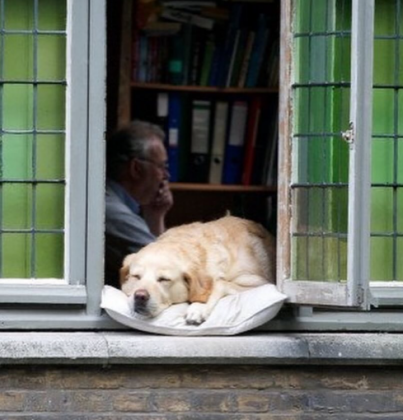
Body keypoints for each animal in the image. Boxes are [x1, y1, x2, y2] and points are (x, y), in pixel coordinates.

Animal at [120, 217, 278, 324]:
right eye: (136, 276)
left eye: (164, 279)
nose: (140, 296)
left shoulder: (259, 282)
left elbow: (220, 284)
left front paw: (198, 308)